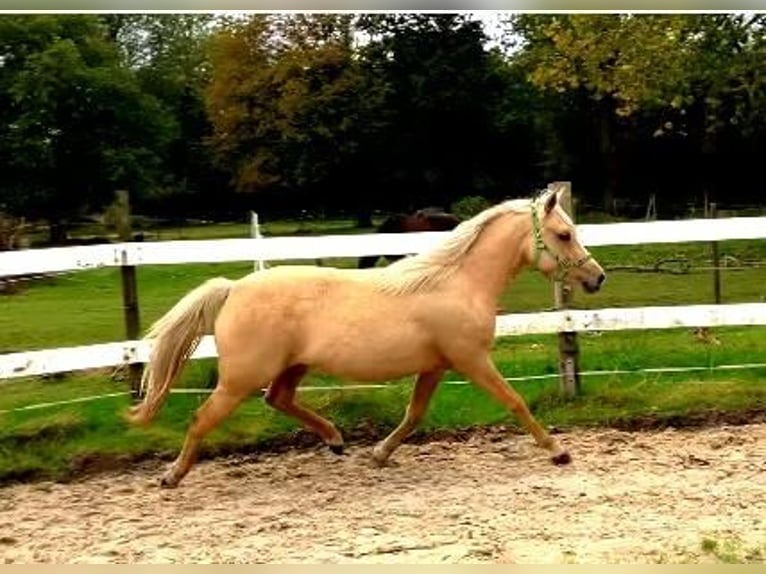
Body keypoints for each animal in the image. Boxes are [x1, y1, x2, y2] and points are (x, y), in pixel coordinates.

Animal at [129, 187, 608, 488]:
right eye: (564, 234)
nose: (597, 277)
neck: (457, 284)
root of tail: (233, 288)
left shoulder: (436, 367)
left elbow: (414, 415)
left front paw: (379, 454)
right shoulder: (471, 360)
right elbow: (515, 402)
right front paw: (557, 451)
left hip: (292, 367)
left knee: (278, 400)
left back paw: (337, 440)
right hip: (241, 378)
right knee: (203, 418)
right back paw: (172, 476)